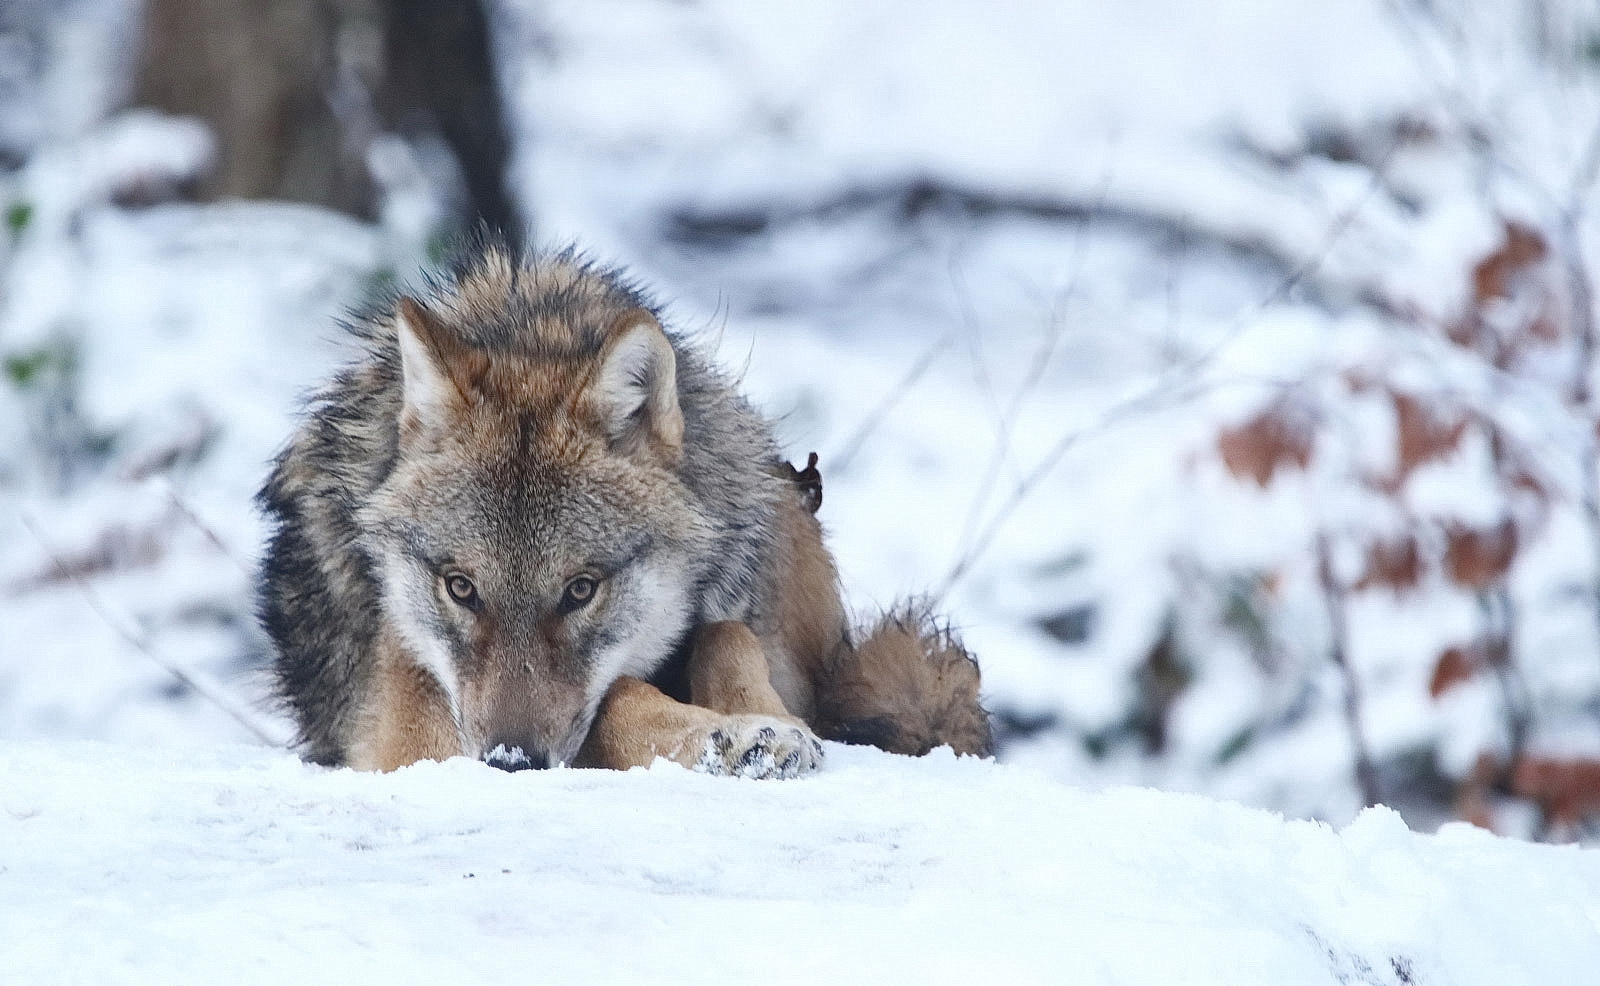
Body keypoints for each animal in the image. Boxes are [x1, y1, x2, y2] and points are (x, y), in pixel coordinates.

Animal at [257, 246, 985, 777]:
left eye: (581, 590)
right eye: (460, 588)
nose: (511, 762)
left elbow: (727, 637)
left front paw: (763, 726)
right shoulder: (410, 739)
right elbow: (615, 701)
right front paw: (731, 735)